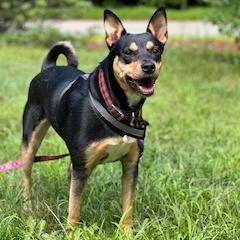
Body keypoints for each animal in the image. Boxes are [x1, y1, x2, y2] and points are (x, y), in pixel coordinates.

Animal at [20, 7, 167, 231]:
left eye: (156, 50)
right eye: (128, 52)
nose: (149, 66)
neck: (117, 107)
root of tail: (48, 68)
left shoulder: (131, 165)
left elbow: (128, 209)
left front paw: (126, 233)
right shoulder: (82, 166)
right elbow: (73, 212)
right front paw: (72, 233)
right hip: (30, 142)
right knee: (27, 174)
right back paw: (27, 206)